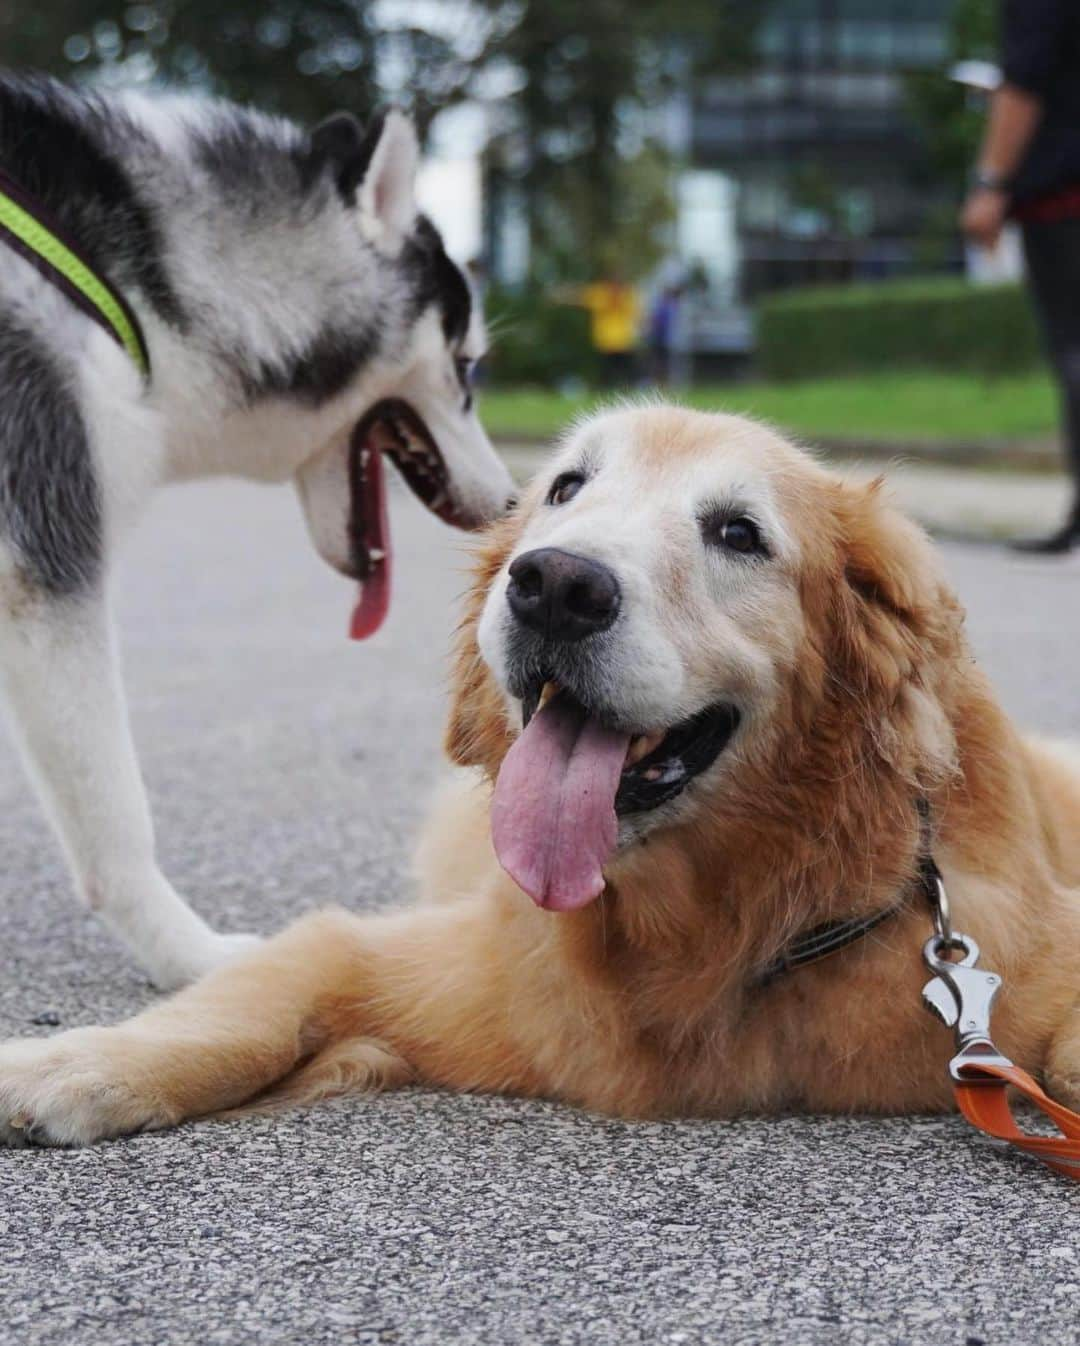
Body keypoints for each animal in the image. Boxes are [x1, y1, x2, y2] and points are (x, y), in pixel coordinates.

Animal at [0, 73, 514, 990]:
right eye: (466, 367)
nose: (511, 502)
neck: (152, 281)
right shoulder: (46, 570)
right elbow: (115, 811)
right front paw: (189, 954)